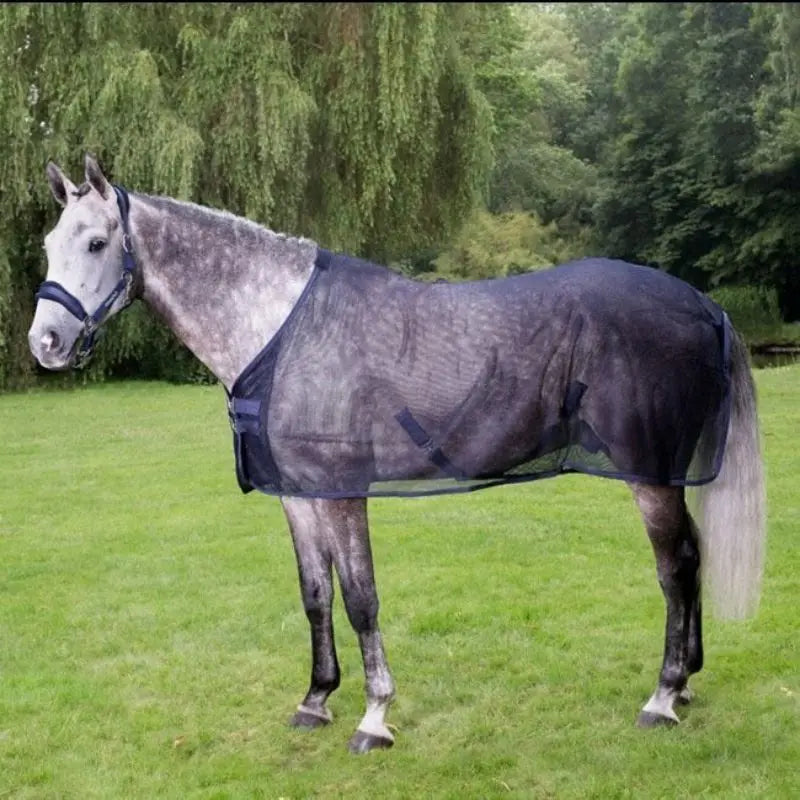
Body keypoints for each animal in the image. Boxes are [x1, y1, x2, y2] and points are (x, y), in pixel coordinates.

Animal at [28, 154, 766, 754]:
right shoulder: (299, 495)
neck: (283, 328)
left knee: (674, 568)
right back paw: (686, 684)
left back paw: (662, 697)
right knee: (693, 556)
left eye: (97, 242)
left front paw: (374, 717)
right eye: (48, 245)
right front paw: (316, 700)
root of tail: (704, 306)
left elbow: (361, 598)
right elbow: (316, 595)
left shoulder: (342, 491)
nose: (46, 344)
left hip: (650, 475)